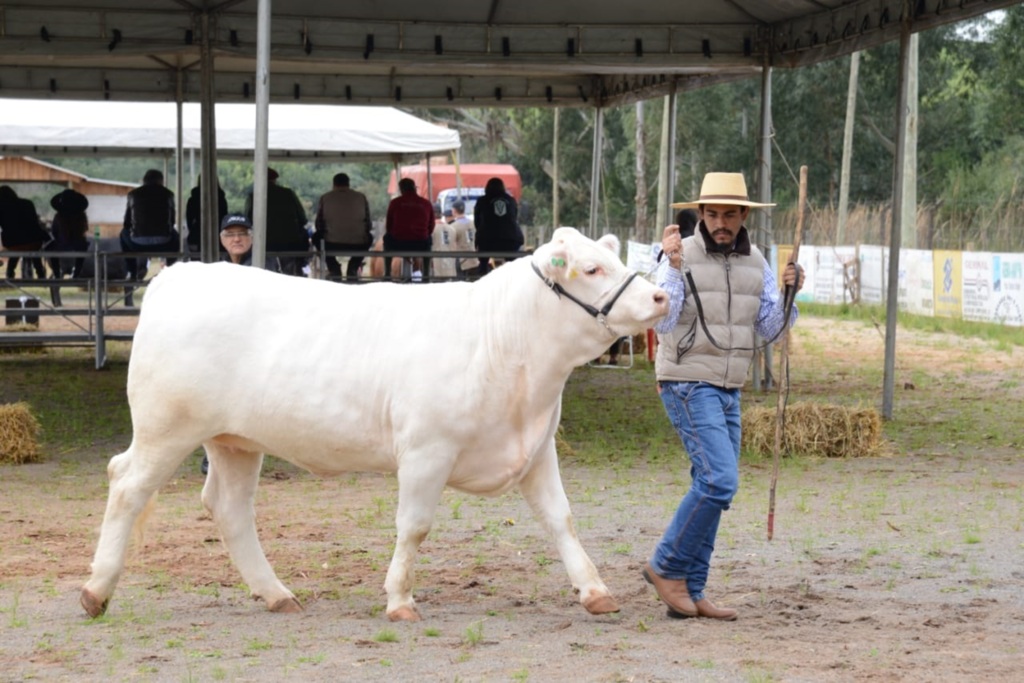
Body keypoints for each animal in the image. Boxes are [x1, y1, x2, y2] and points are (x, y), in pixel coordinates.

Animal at [81, 227, 671, 622]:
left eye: (614, 259)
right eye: (590, 270)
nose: (661, 295)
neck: (505, 344)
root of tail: (184, 273)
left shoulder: (536, 448)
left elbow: (561, 520)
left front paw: (594, 591)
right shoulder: (427, 451)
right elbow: (414, 526)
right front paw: (400, 599)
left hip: (236, 441)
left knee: (229, 508)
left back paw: (276, 593)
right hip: (166, 428)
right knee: (126, 484)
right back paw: (96, 590)